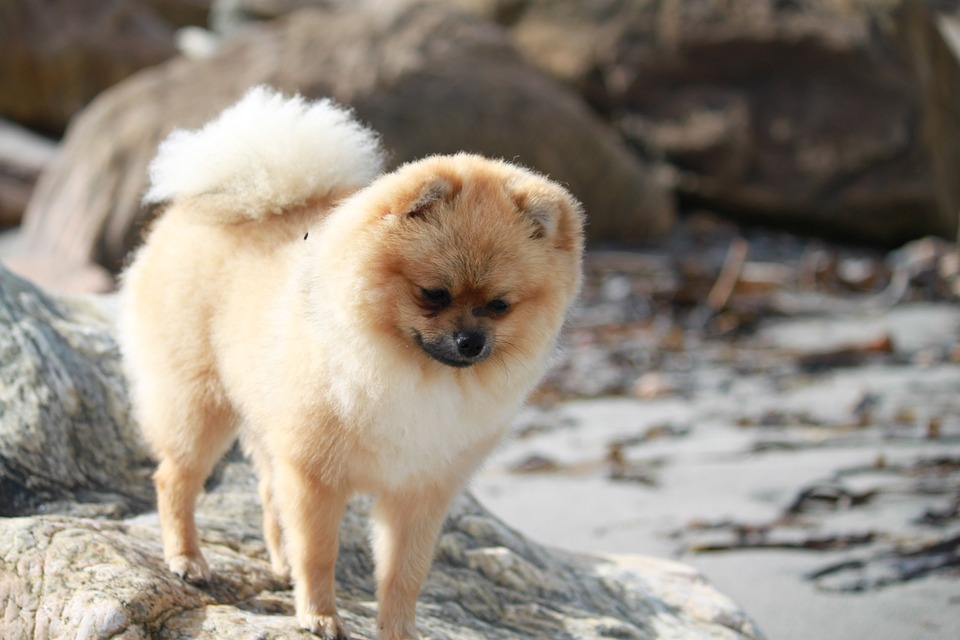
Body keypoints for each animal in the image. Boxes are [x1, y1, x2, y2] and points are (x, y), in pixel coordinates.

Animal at [120, 86, 584, 640]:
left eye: (499, 306)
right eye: (433, 294)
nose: (470, 342)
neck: (411, 373)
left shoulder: (420, 492)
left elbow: (404, 574)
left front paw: (398, 631)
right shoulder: (315, 474)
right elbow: (319, 553)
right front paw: (319, 615)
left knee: (266, 491)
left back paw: (276, 565)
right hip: (198, 402)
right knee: (175, 479)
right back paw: (187, 560)